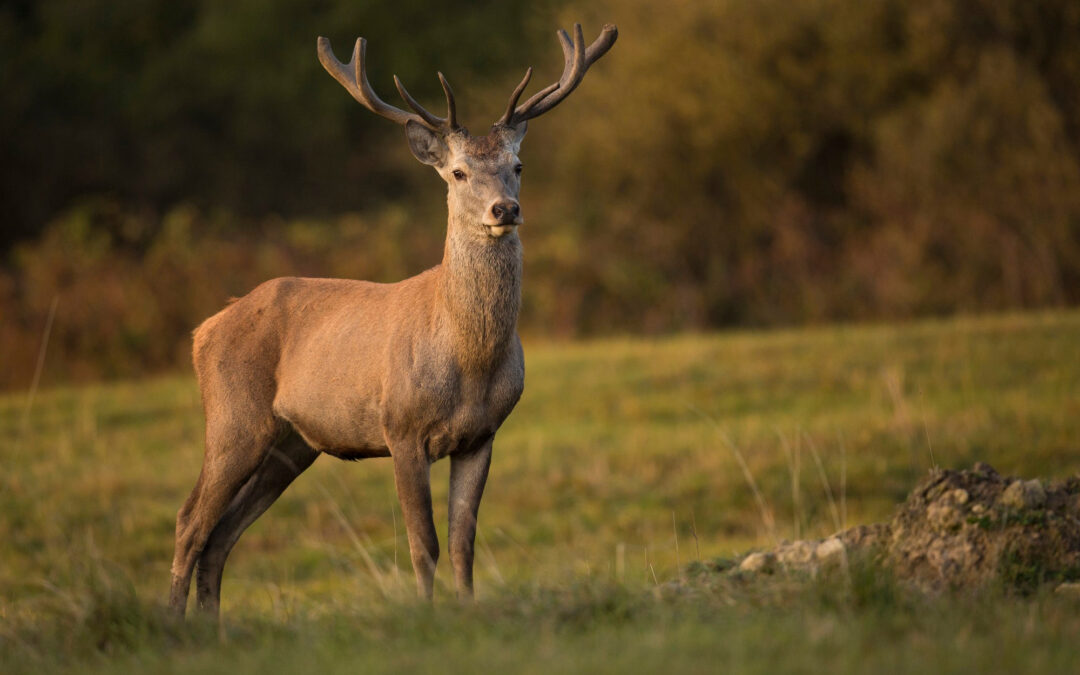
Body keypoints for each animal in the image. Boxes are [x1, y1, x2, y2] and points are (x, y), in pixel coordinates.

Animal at [168, 23, 617, 617]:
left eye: (518, 167)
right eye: (458, 172)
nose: (505, 209)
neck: (468, 360)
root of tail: (203, 331)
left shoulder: (482, 435)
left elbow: (463, 540)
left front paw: (467, 609)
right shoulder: (401, 427)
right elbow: (422, 541)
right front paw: (426, 614)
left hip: (292, 443)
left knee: (221, 534)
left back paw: (210, 625)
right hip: (233, 418)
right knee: (190, 520)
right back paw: (172, 621)